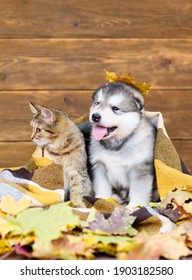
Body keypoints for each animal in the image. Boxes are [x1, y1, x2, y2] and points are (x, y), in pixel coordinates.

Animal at [89, 81, 158, 210]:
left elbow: (138, 190)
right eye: (97, 103)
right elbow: (102, 185)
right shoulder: (100, 165)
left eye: (115, 108)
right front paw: (102, 198)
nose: (95, 116)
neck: (116, 144)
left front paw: (135, 205)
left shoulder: (140, 168)